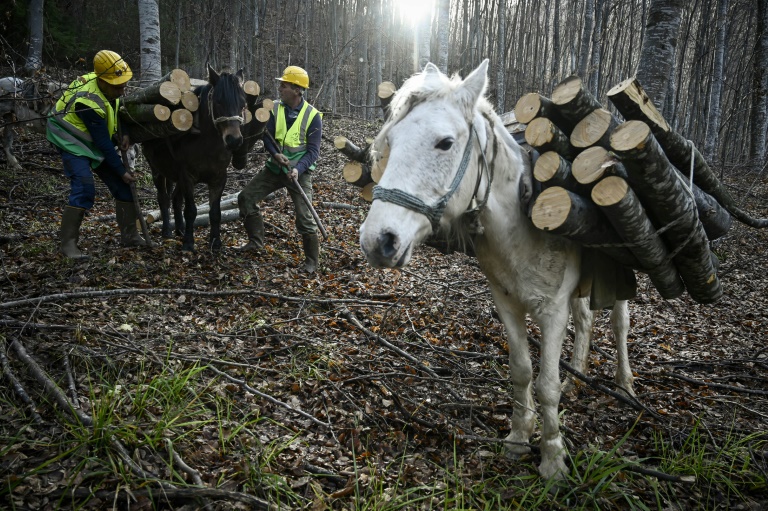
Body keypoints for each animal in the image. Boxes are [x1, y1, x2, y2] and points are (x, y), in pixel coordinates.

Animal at [144, 65, 249, 253]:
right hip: (157, 170)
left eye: (243, 103)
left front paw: (215, 242)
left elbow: (215, 212)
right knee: (163, 198)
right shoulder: (187, 177)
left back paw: (179, 229)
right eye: (218, 101)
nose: (234, 140)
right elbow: (191, 210)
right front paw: (188, 242)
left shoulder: (218, 178)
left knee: (176, 199)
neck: (205, 144)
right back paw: (167, 231)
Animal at [360, 61, 636, 480]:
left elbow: (546, 384)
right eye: (390, 140)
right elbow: (521, 371)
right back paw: (576, 377)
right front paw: (519, 438)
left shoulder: (552, 311)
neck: (521, 228)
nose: (378, 241)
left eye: (445, 143)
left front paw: (553, 459)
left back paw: (624, 385)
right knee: (587, 319)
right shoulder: (506, 303)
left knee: (620, 323)